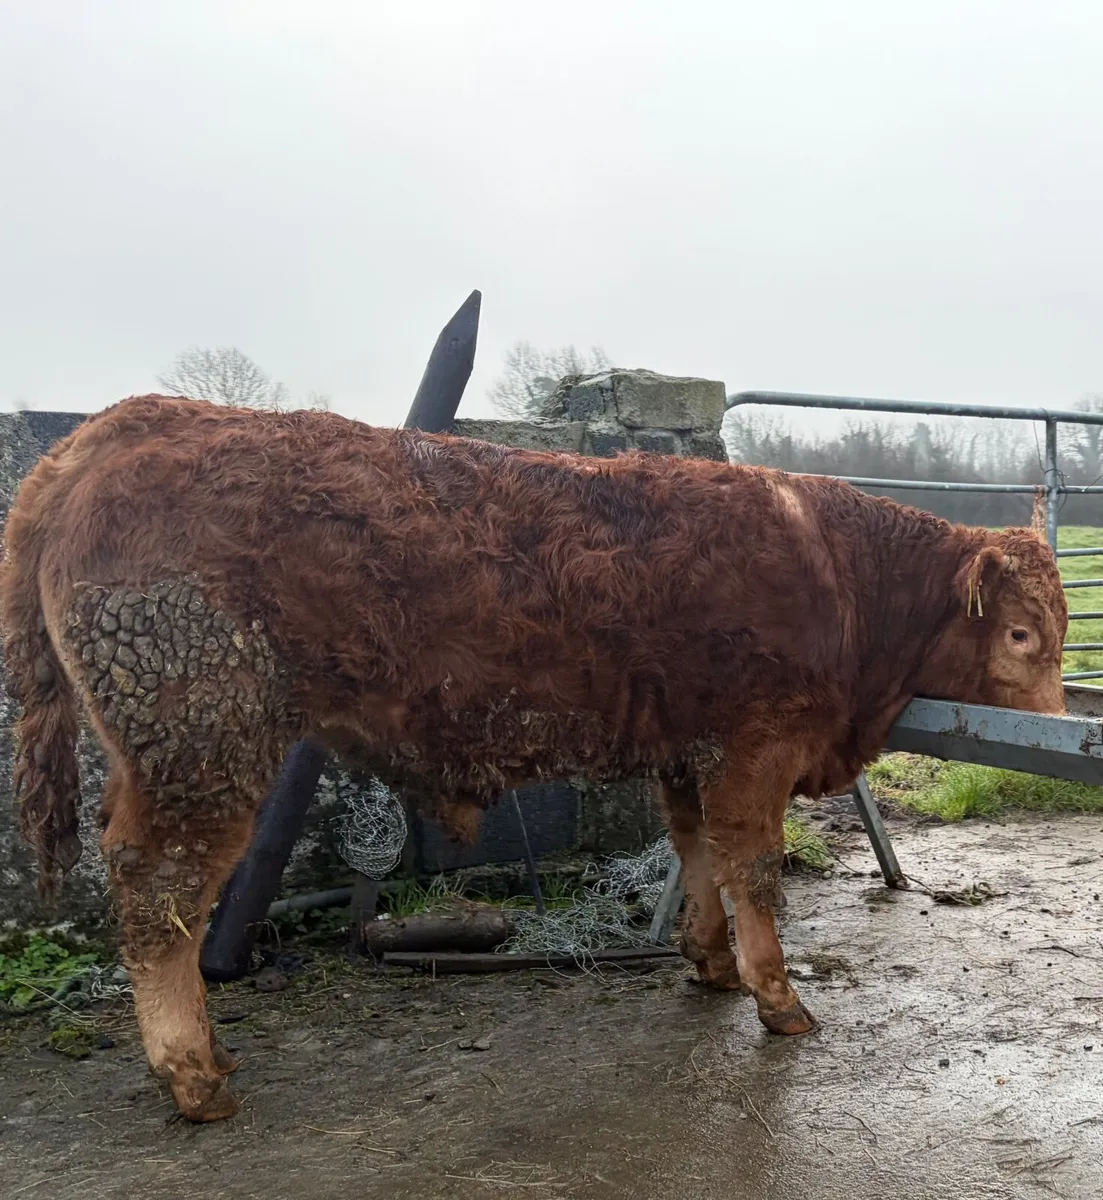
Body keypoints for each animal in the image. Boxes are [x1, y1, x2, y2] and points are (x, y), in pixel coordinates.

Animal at [0, 395, 1067, 1122]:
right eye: (1019, 635)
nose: (1058, 723)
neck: (839, 575)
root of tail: (123, 424)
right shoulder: (753, 744)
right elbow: (755, 868)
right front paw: (777, 996)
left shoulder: (684, 748)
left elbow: (697, 855)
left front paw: (710, 963)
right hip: (199, 739)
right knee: (155, 893)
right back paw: (193, 1075)